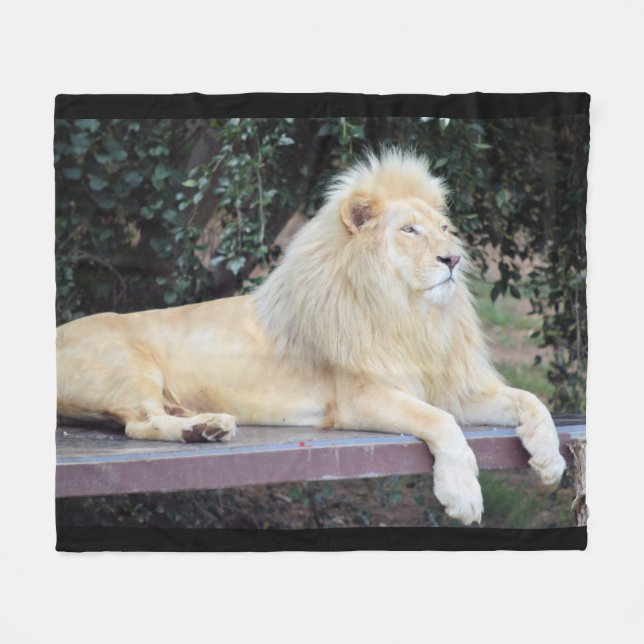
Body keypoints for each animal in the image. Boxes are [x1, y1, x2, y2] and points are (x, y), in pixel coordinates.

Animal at [57, 149, 566, 525]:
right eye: (409, 230)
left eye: (444, 229)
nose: (454, 259)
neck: (411, 315)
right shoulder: (361, 398)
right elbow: (441, 422)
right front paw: (462, 494)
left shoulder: (453, 389)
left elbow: (531, 401)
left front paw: (550, 459)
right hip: (127, 365)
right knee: (138, 423)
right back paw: (206, 428)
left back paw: (202, 423)